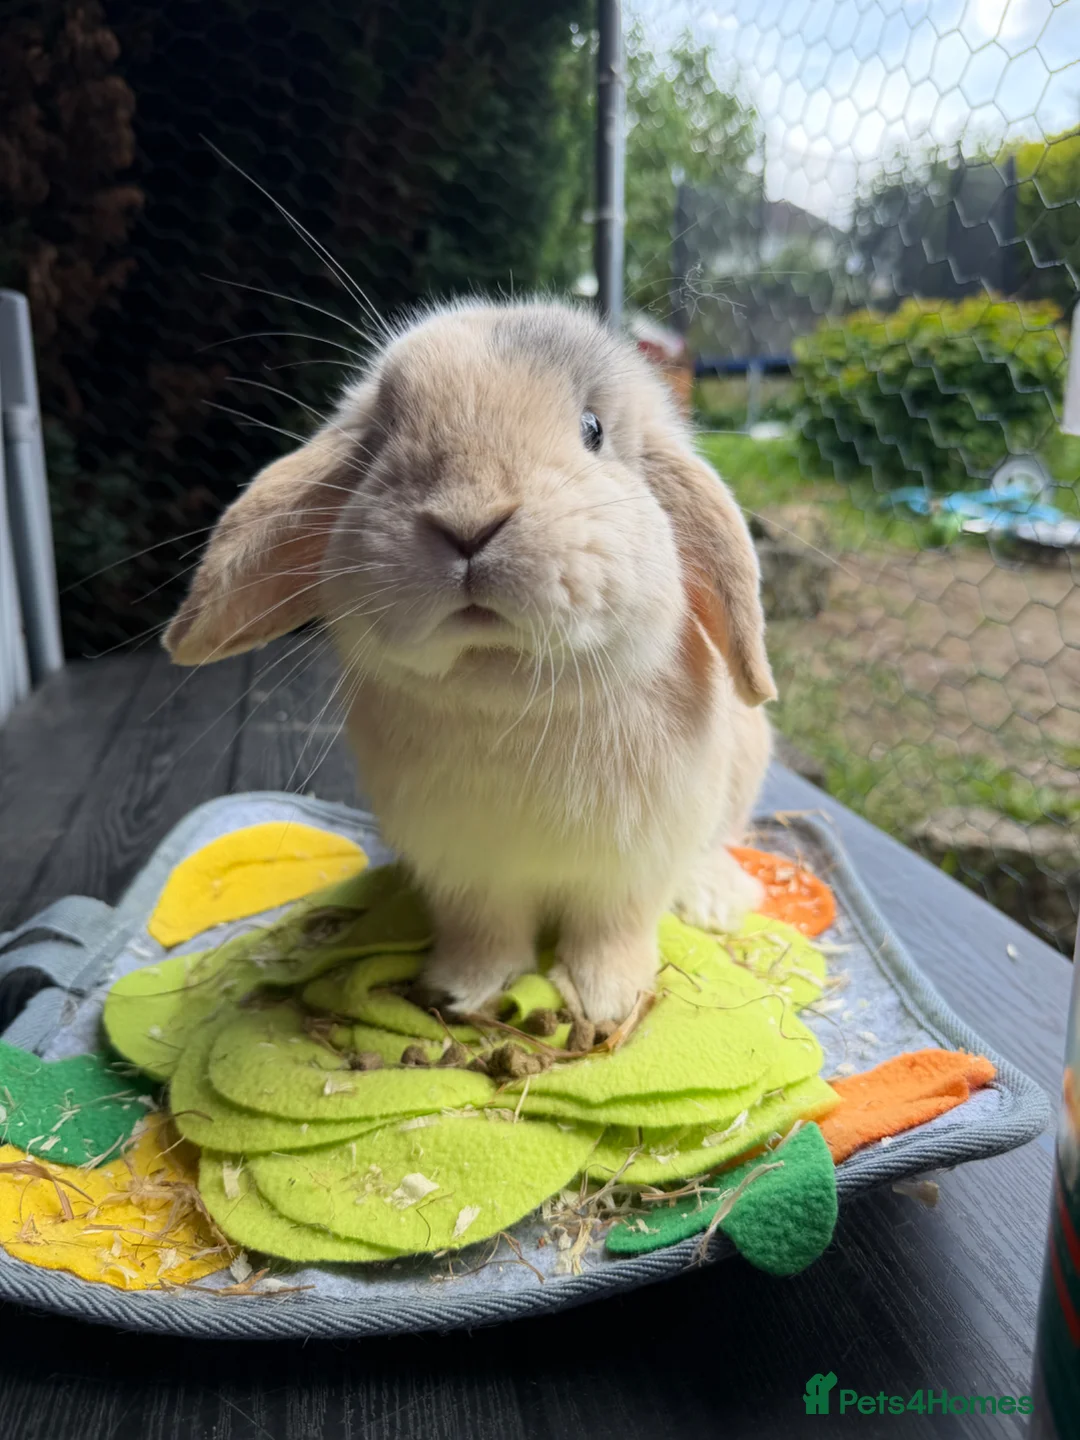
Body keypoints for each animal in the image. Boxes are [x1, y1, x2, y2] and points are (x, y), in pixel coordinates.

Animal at [164, 300, 776, 1022]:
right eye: (379, 440)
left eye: (593, 429)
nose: (468, 522)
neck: (507, 698)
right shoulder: (468, 875)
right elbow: (488, 933)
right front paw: (462, 991)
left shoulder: (629, 872)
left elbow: (611, 930)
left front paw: (606, 1001)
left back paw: (713, 900)